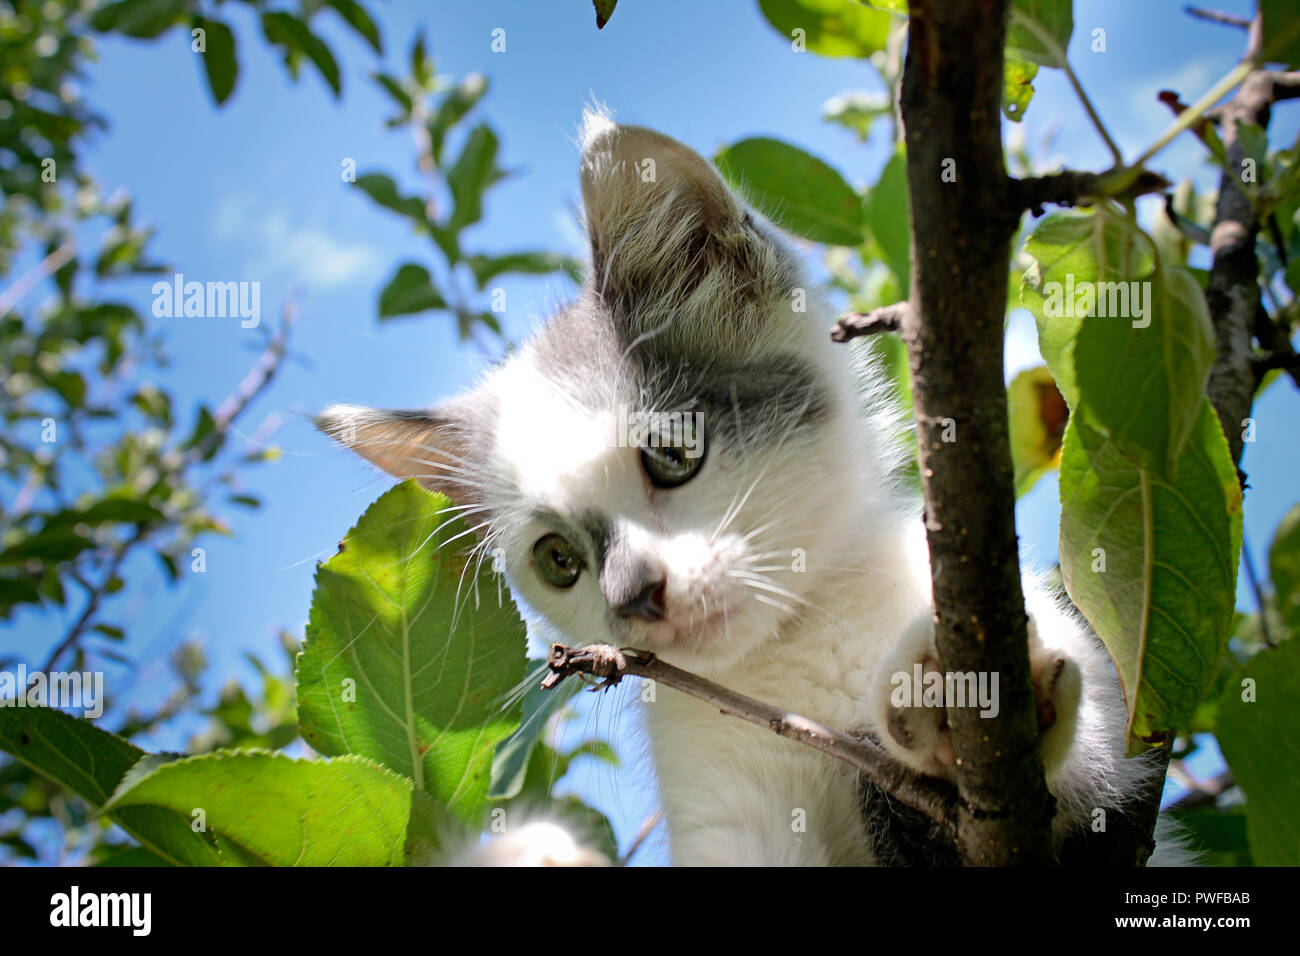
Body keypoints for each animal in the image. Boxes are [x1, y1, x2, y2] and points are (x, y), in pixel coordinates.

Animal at [322, 111, 1190, 868]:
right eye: (558, 560)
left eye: (673, 455)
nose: (633, 594)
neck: (791, 652)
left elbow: (1091, 789)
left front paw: (951, 700)